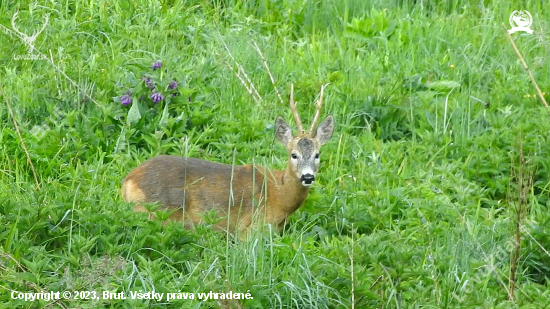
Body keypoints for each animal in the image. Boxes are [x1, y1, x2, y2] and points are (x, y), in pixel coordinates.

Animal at [121, 83, 336, 236]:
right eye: (294, 154)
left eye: (317, 154)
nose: (307, 177)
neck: (279, 195)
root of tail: (127, 181)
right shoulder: (250, 230)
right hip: (156, 211)